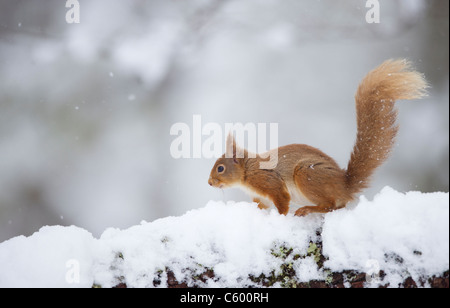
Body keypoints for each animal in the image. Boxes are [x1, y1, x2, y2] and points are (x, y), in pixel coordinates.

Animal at [207, 59, 426, 215]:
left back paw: (308, 209)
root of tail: (345, 186)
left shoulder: (268, 181)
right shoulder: (260, 198)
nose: (209, 183)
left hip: (307, 175)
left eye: (220, 168)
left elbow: (282, 202)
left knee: (329, 205)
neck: (247, 171)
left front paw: (281, 217)